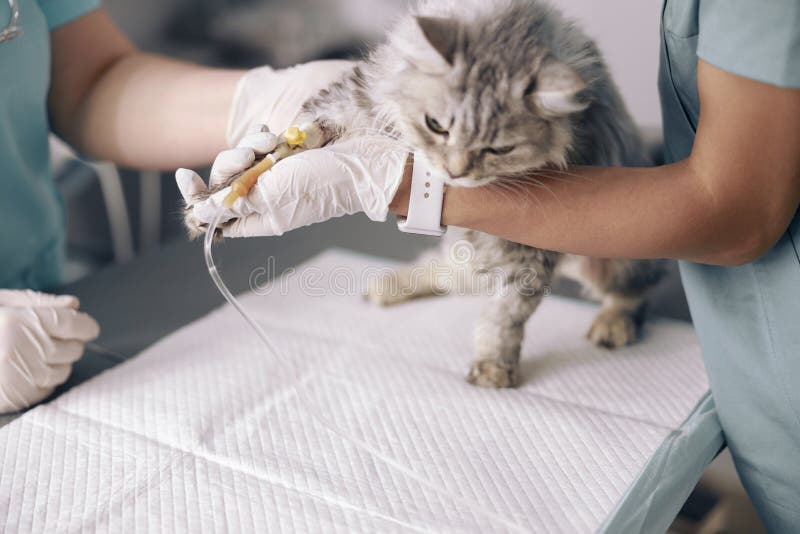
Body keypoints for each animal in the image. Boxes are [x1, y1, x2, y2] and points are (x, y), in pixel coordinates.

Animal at [188, 0, 664, 390]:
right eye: (437, 125)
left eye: (498, 149)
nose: (456, 172)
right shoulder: (350, 99)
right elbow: (286, 141)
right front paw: (216, 201)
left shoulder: (530, 249)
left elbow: (504, 316)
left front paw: (493, 367)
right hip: (471, 257)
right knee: (443, 273)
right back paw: (389, 286)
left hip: (606, 261)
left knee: (638, 288)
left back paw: (613, 323)